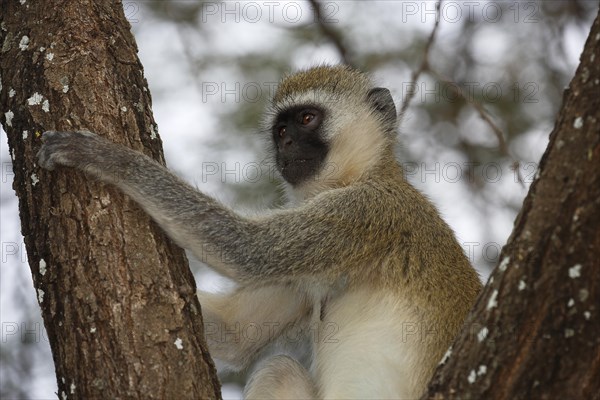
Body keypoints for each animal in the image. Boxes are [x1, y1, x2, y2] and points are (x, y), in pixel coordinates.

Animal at [37, 65, 480, 396]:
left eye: (306, 118)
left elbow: (250, 251)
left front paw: (109, 159)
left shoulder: (366, 212)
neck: (362, 175)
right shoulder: (306, 276)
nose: (285, 148)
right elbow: (237, 334)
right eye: (280, 131)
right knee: (278, 369)